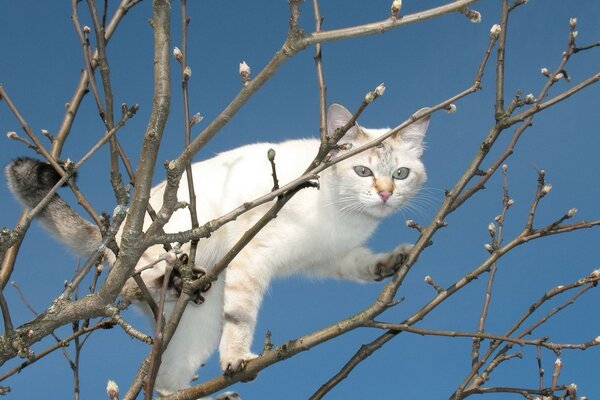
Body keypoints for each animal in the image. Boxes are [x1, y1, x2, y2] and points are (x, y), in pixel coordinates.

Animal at [2, 102, 428, 394]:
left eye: (401, 174)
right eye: (363, 171)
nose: (385, 194)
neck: (344, 216)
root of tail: (115, 229)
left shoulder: (329, 256)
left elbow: (361, 264)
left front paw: (391, 262)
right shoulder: (254, 256)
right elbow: (241, 319)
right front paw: (238, 359)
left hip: (195, 333)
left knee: (166, 382)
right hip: (161, 255)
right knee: (131, 285)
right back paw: (173, 280)